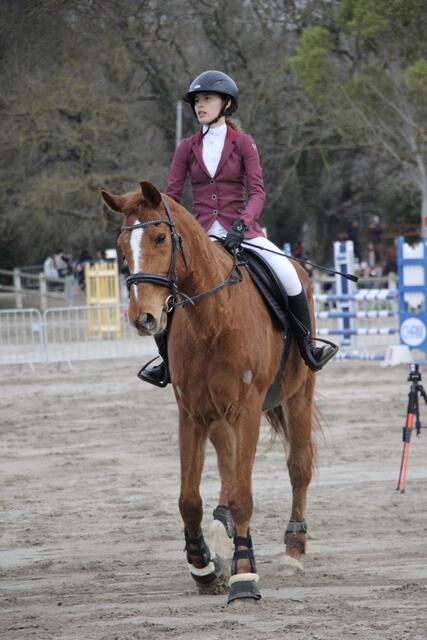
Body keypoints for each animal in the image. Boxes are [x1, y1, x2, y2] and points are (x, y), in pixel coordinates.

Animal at [101, 180, 316, 605]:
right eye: (120, 246)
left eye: (160, 237)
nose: (143, 318)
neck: (212, 318)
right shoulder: (192, 414)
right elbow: (189, 500)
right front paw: (203, 565)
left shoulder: (246, 410)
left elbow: (244, 495)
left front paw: (244, 575)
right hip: (219, 418)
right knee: (229, 466)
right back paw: (221, 537)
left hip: (297, 397)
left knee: (297, 468)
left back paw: (293, 550)